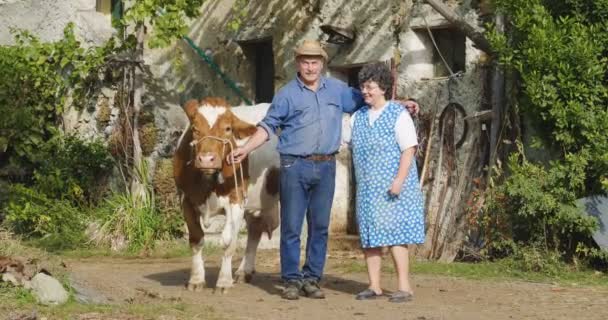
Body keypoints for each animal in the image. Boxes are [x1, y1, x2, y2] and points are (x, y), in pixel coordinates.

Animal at [173, 97, 280, 290]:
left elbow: (229, 241)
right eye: (195, 129)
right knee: (255, 231)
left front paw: (223, 280)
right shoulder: (186, 200)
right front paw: (196, 279)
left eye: (228, 128)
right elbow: (196, 239)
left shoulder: (236, 200)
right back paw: (243, 271)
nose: (207, 159)